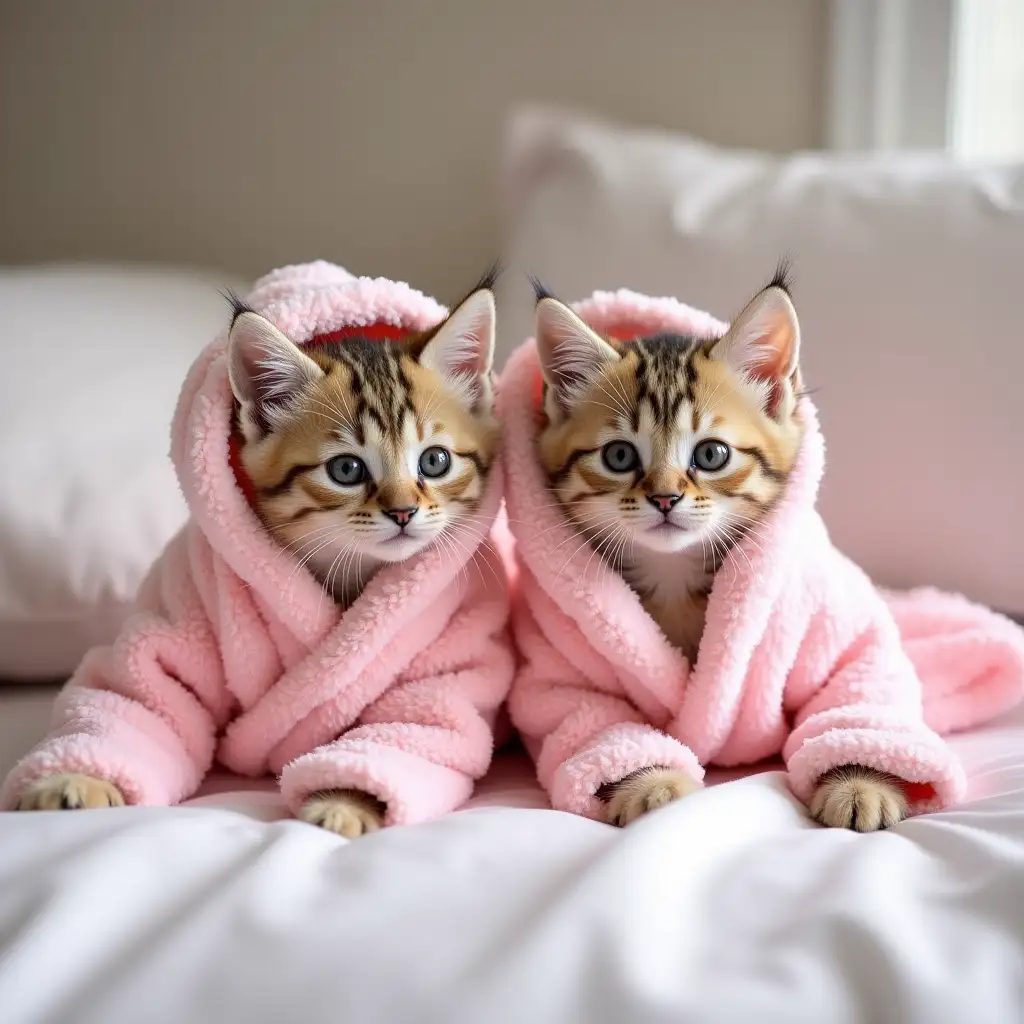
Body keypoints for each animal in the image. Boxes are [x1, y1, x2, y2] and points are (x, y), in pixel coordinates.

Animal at [17, 276, 499, 835]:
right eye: (347, 470)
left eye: (435, 461)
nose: (403, 512)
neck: (350, 570)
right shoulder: (190, 602)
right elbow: (141, 695)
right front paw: (72, 778)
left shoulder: (449, 652)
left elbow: (412, 725)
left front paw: (347, 800)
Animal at [532, 276, 909, 835]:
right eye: (619, 456)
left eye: (711, 454)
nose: (665, 498)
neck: (674, 575)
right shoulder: (567, 676)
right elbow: (596, 724)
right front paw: (652, 786)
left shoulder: (835, 633)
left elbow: (854, 696)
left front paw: (862, 782)